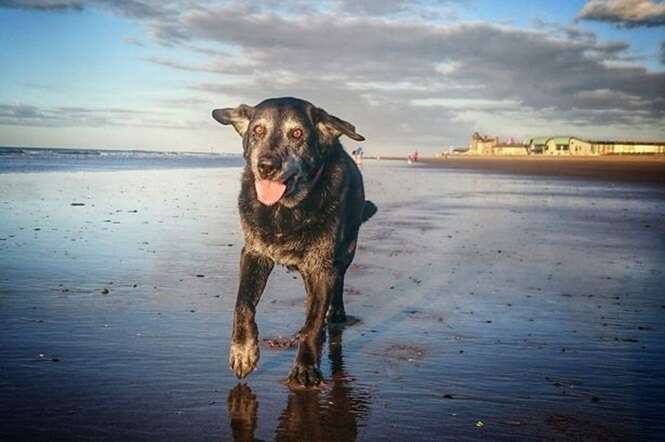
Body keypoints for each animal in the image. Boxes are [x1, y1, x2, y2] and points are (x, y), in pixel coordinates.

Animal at [214, 97, 378, 386]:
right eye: (257, 130)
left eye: (298, 133)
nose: (267, 166)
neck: (284, 211)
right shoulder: (254, 254)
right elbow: (243, 304)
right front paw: (243, 351)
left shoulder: (322, 268)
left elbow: (313, 323)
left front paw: (306, 366)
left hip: (346, 251)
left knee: (337, 284)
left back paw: (335, 313)